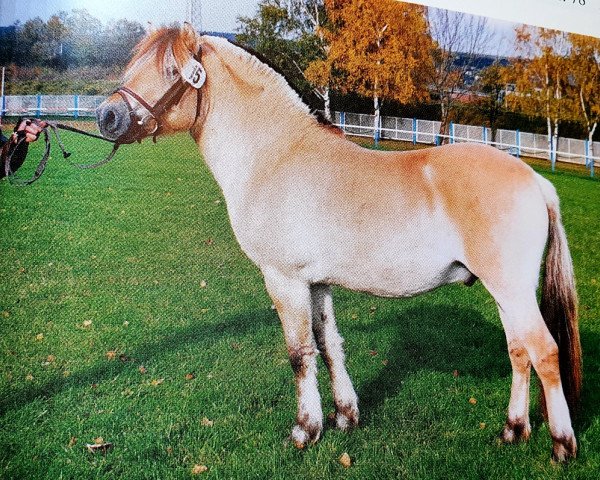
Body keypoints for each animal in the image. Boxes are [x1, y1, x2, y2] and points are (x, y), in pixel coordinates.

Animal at [95, 24, 580, 464]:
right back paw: (513, 430)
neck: (276, 156)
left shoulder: (284, 281)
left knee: (545, 352)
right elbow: (330, 344)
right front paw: (346, 416)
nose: (107, 117)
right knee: (519, 353)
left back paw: (562, 444)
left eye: (170, 69)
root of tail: (536, 181)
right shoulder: (317, 284)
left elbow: (300, 353)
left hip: (512, 291)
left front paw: (305, 429)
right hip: (506, 293)